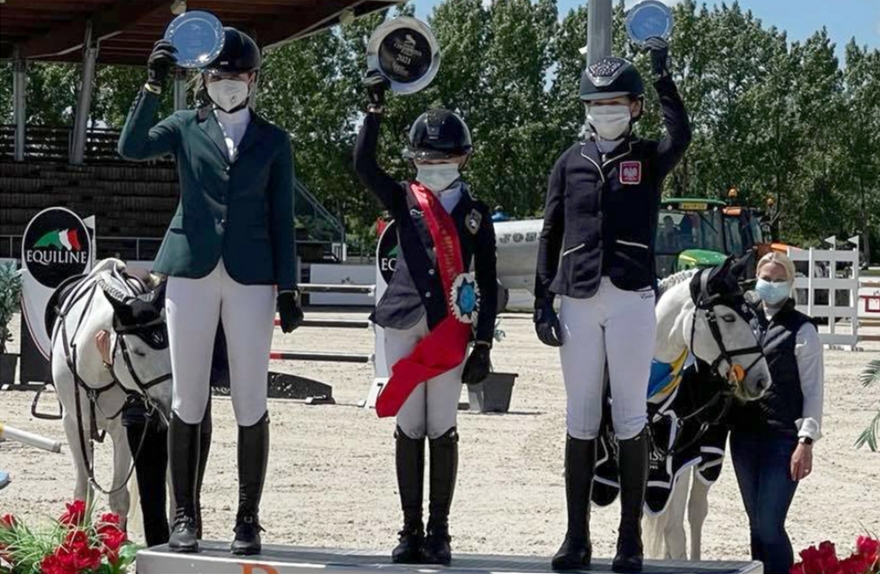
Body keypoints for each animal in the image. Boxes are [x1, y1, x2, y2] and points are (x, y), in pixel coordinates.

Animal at [49, 260, 172, 528]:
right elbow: (83, 492)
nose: (172, 399)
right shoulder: (73, 424)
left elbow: (119, 498)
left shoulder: (122, 428)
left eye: (171, 347)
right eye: (138, 352)